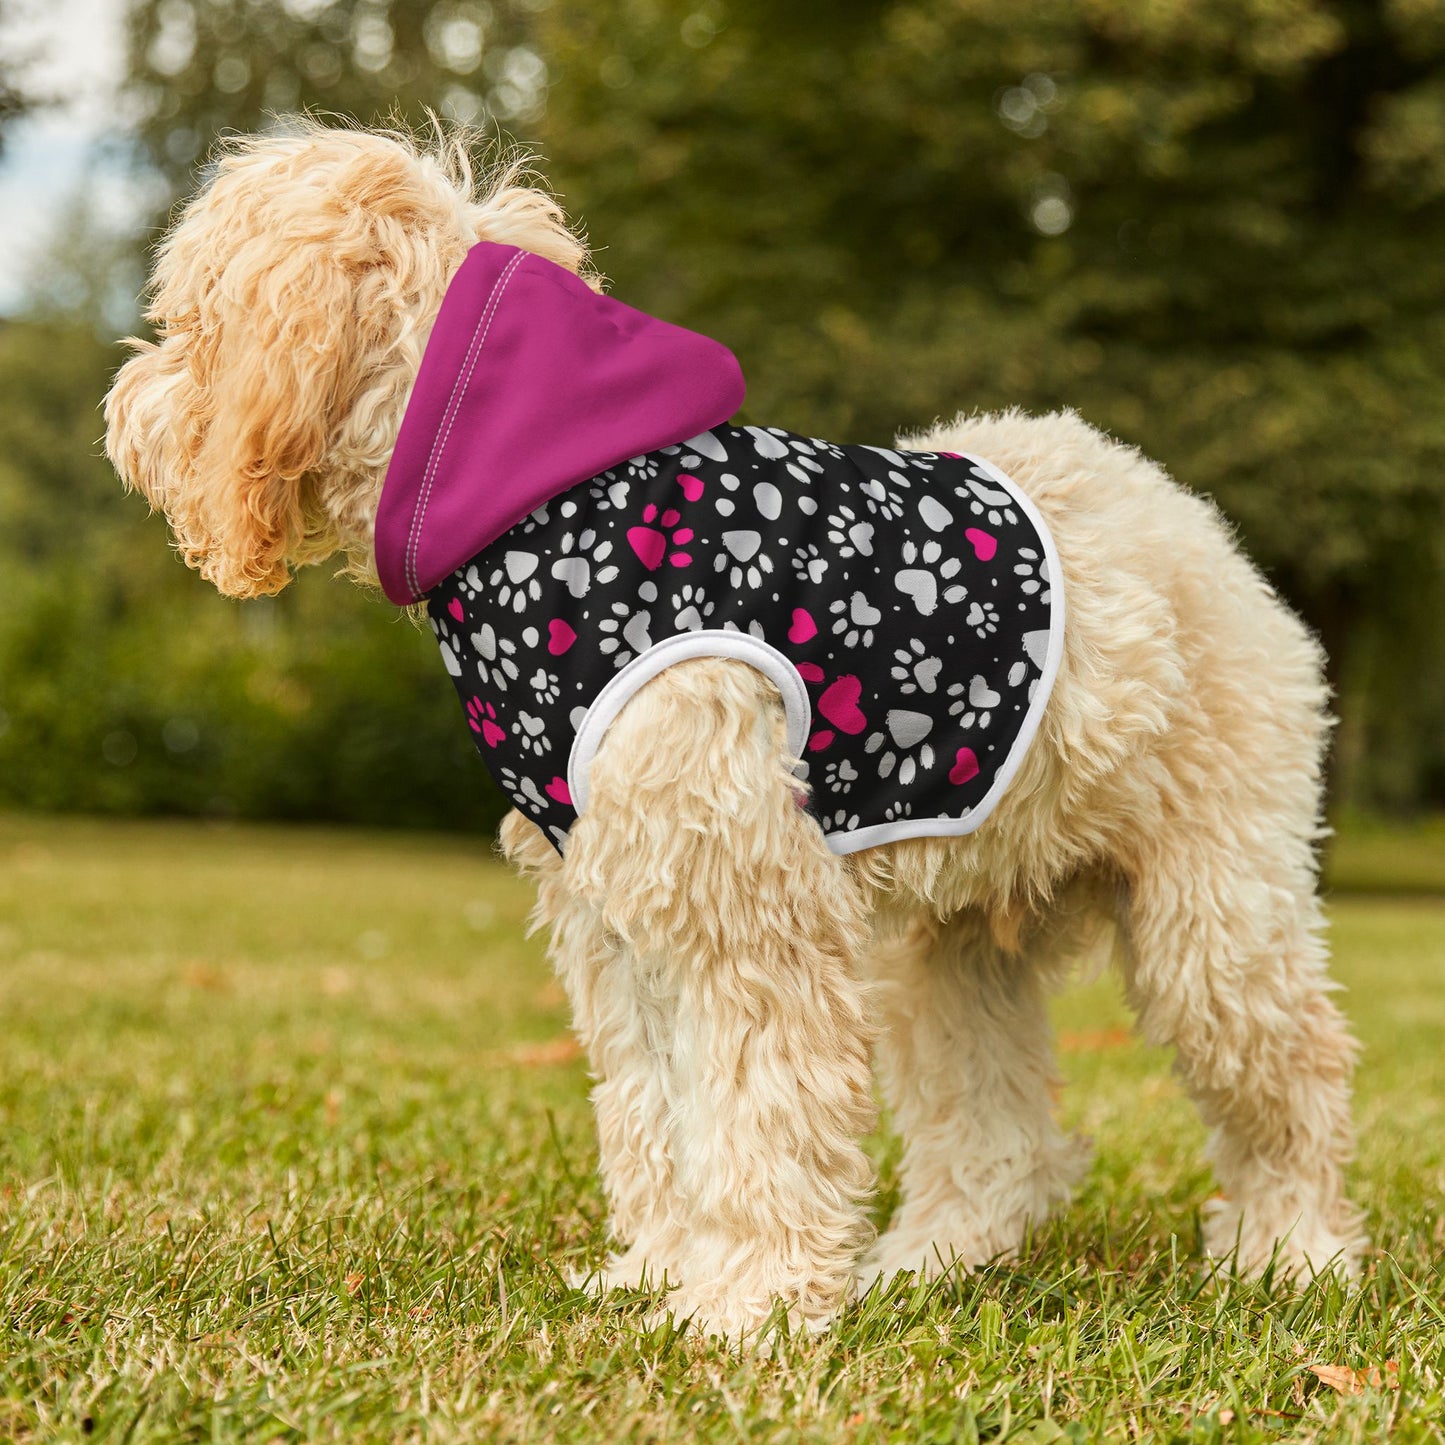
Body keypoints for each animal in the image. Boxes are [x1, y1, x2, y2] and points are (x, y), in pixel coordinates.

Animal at [104, 124, 1364, 1340]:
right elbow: (656, 1111)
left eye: (190, 319)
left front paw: (747, 1304)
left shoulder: (743, 904)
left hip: (1212, 915)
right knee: (996, 1134)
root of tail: (1188, 519)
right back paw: (928, 1260)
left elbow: (758, 1111)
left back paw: (1290, 1252)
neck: (540, 503)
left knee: (1293, 1075)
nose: (123, 409)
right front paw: (662, 1273)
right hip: (948, 950)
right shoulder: (618, 914)